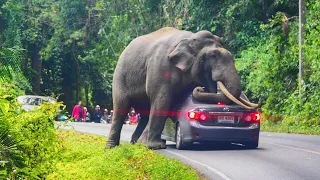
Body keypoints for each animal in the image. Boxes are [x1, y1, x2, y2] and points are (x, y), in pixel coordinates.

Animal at [105, 27, 258, 150]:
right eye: (213, 56)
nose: (200, 88)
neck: (190, 38)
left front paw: (150, 145)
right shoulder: (161, 67)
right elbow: (163, 101)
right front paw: (156, 146)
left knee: (144, 113)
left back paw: (136, 143)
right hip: (120, 77)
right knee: (121, 107)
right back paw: (112, 148)